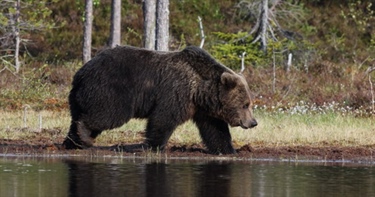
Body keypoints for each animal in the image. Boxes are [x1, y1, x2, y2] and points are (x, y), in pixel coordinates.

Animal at [62, 45, 258, 155]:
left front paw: (229, 150)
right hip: (112, 90)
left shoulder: (203, 109)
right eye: (245, 105)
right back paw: (84, 135)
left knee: (77, 116)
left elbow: (215, 130)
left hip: (79, 96)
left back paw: (72, 143)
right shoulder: (176, 92)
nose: (253, 122)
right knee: (107, 115)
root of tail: (81, 72)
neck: (199, 91)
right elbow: (163, 119)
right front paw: (151, 145)